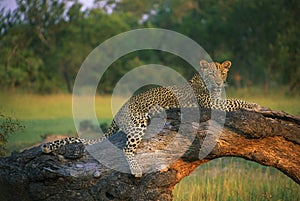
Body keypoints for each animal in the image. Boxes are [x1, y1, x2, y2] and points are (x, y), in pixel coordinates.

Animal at [41, 59, 258, 177]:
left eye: (223, 72)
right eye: (212, 73)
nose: (220, 82)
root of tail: (118, 111)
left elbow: (233, 101)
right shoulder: (211, 105)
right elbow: (236, 102)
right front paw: (256, 105)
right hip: (139, 122)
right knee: (127, 149)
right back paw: (136, 170)